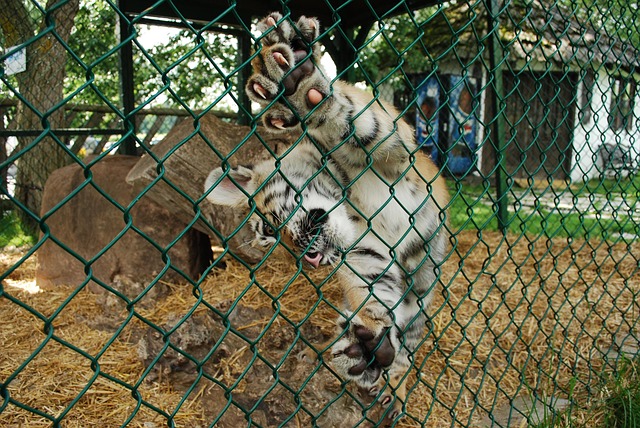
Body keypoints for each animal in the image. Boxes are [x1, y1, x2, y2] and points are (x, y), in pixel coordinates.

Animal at [203, 12, 450, 422]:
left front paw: (295, 82)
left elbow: (351, 118)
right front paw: (368, 344)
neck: (350, 202)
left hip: (424, 281)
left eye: (269, 227)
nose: (311, 260)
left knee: (411, 337)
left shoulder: (394, 146)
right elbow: (375, 294)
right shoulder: (367, 254)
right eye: (269, 239)